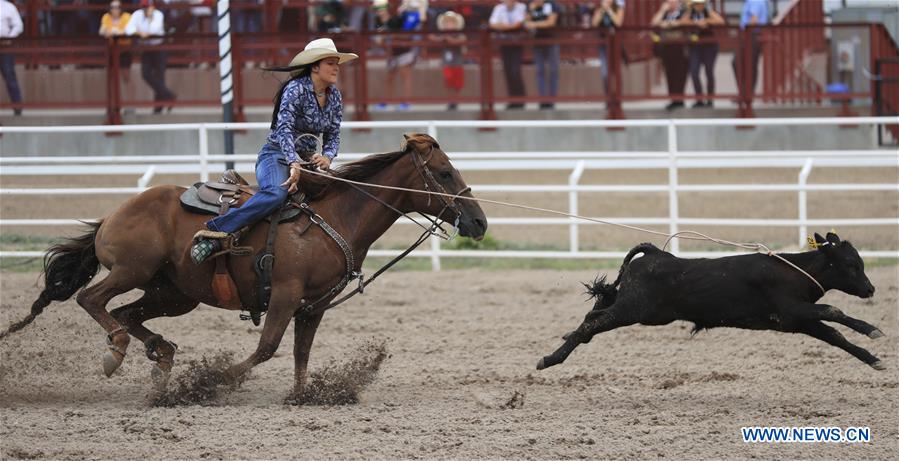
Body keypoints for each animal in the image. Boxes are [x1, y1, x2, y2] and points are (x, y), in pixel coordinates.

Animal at [3, 133, 488, 396]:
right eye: (445, 173)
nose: (479, 221)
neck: (335, 217)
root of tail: (115, 213)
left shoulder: (313, 306)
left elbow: (300, 351)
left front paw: (302, 397)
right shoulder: (286, 294)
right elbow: (267, 348)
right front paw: (212, 382)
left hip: (173, 293)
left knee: (126, 312)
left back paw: (160, 354)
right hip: (131, 270)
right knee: (93, 299)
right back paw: (119, 352)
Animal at [536, 230, 884, 370]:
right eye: (852, 265)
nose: (870, 289)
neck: (795, 271)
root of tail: (656, 254)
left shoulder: (797, 321)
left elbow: (836, 336)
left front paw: (872, 358)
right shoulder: (792, 309)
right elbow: (833, 309)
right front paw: (872, 329)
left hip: (635, 308)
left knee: (592, 316)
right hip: (632, 309)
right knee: (591, 323)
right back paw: (550, 359)